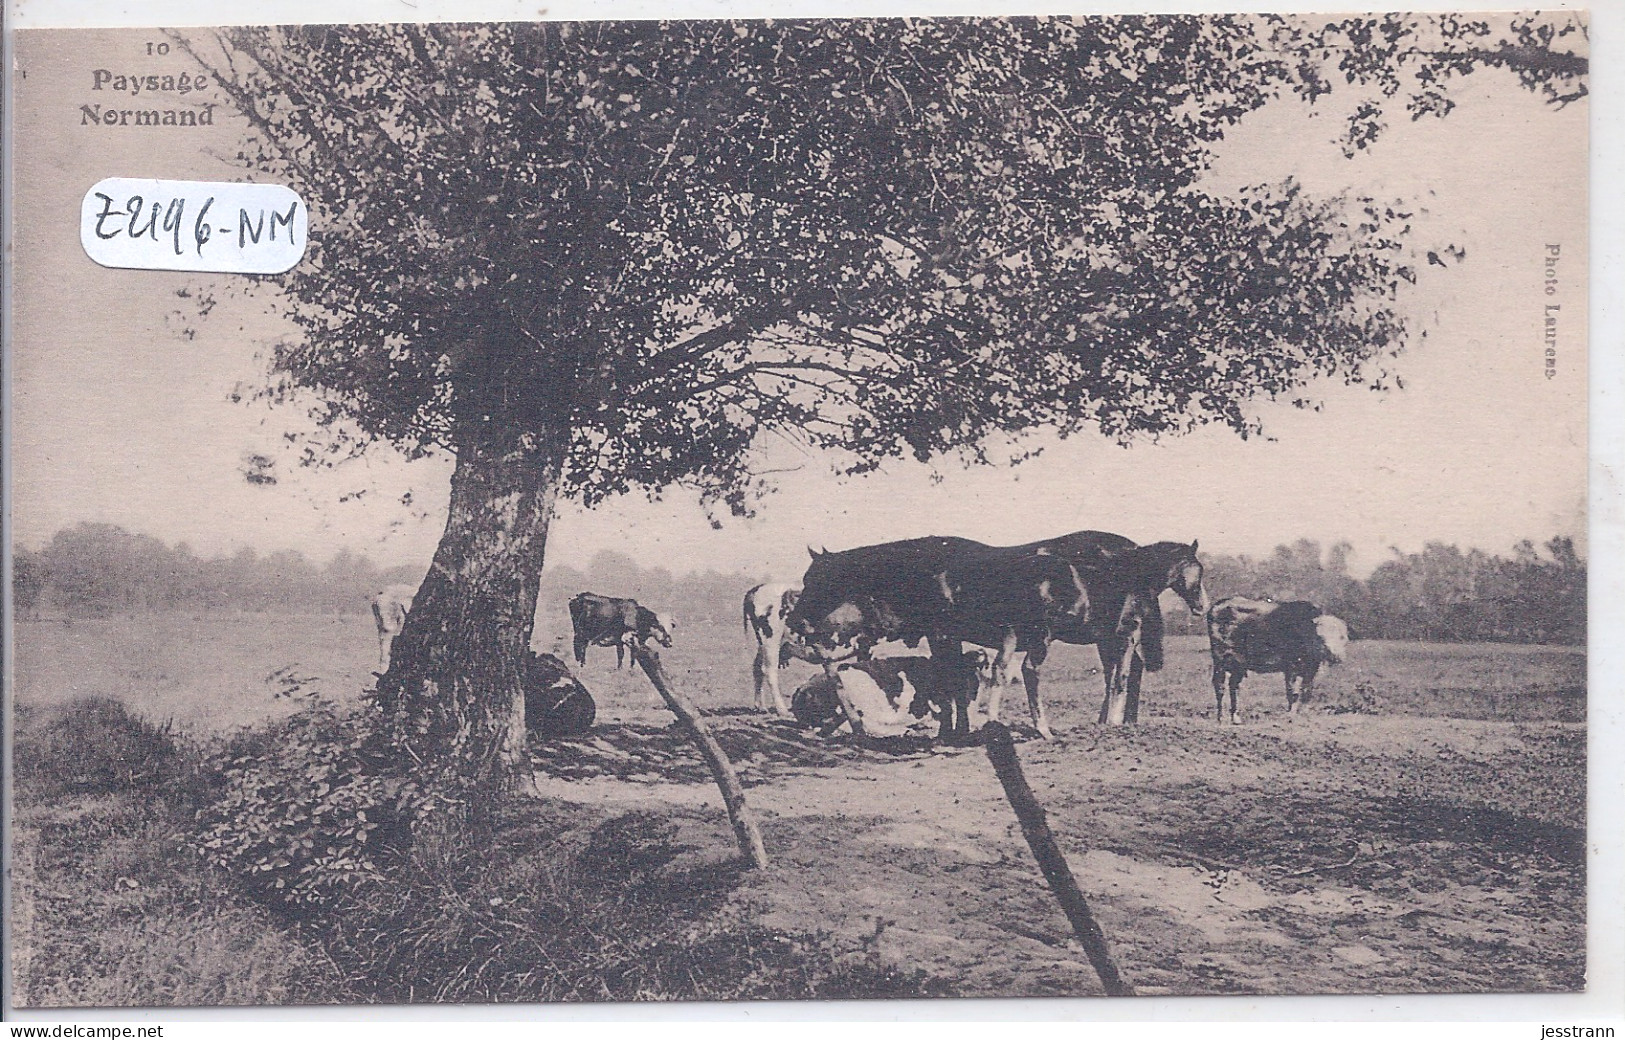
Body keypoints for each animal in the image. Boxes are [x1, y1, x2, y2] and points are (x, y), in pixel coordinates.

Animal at [1209, 591, 1345, 721]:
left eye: (1342, 637)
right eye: (1320, 636)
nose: (1335, 656)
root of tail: (1218, 605)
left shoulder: (1311, 669)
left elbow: (1307, 691)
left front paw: (1304, 713)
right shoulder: (1290, 667)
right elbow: (1292, 692)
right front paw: (1291, 714)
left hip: (1239, 665)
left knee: (1234, 686)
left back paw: (1235, 717)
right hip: (1220, 660)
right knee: (1219, 686)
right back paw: (1221, 717)